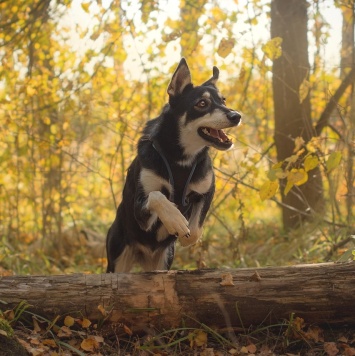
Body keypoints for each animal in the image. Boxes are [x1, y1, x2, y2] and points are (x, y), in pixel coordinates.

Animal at [105, 58, 242, 272]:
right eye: (202, 103)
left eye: (224, 100)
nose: (236, 116)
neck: (180, 159)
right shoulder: (140, 210)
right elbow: (158, 196)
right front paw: (176, 220)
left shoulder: (206, 191)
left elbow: (196, 228)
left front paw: (186, 236)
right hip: (118, 258)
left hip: (163, 261)